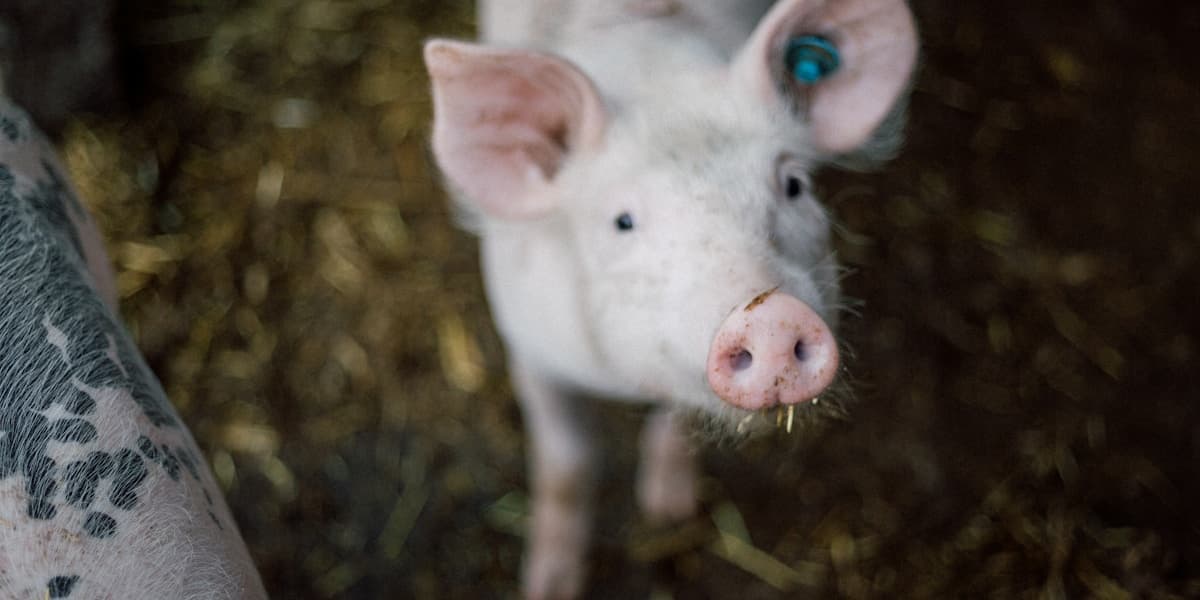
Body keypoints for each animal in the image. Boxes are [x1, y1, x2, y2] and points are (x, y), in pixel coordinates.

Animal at [424, 0, 918, 597]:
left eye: (795, 186)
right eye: (623, 221)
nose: (771, 317)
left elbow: (677, 419)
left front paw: (668, 511)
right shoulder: (528, 345)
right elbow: (567, 461)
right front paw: (548, 584)